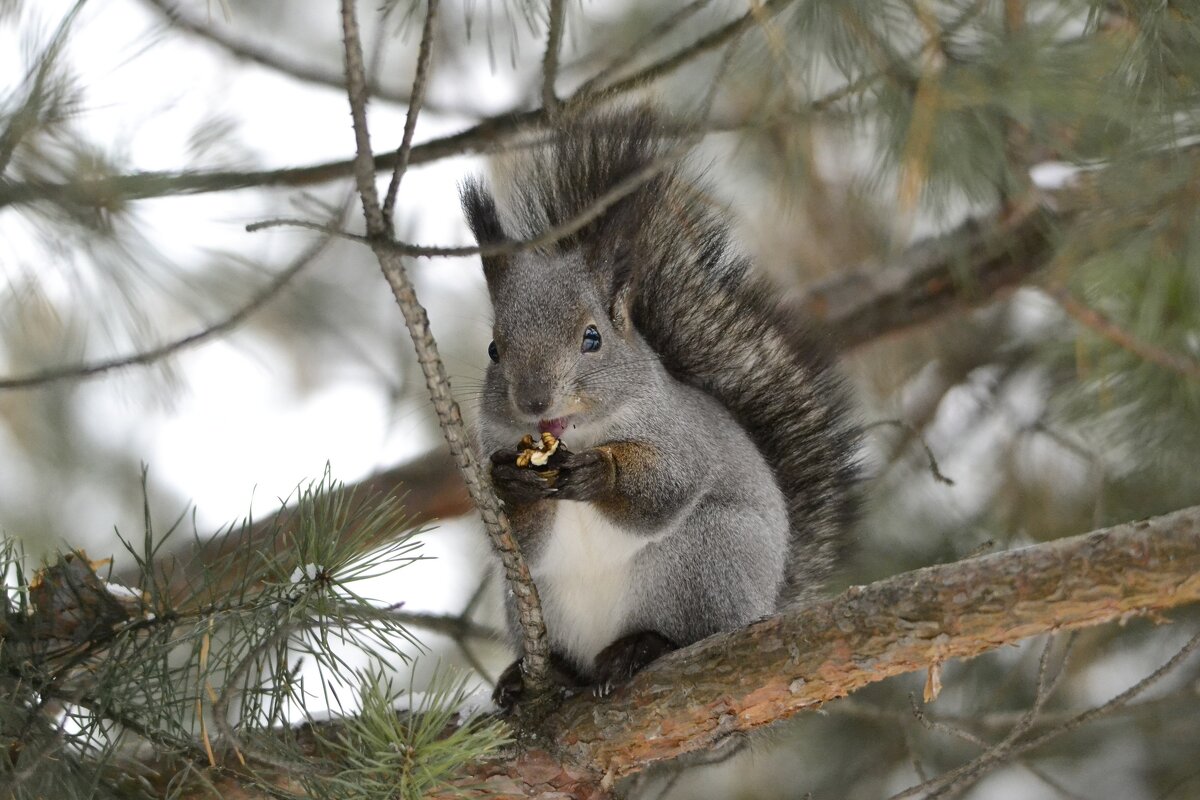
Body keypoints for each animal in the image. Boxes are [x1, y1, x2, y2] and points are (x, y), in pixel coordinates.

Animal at [460, 104, 864, 705]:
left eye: (593, 337)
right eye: (493, 349)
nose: (534, 401)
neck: (573, 434)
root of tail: (766, 601)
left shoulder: (679, 436)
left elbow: (666, 484)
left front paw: (601, 472)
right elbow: (517, 541)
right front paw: (513, 480)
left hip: (704, 560)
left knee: (689, 631)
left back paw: (640, 647)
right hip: (534, 603)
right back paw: (544, 674)